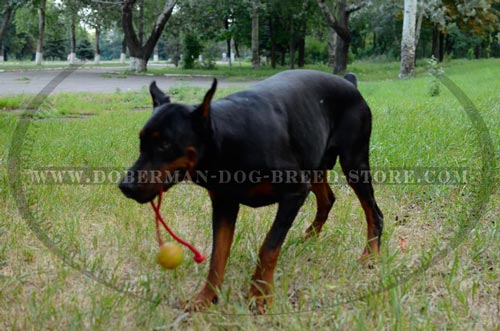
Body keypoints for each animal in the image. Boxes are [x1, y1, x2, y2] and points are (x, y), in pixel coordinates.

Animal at [119, 70, 384, 314]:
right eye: (141, 141)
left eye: (165, 144)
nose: (125, 186)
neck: (229, 140)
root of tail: (349, 82)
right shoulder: (224, 204)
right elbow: (217, 255)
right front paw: (205, 298)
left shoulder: (294, 193)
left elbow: (268, 248)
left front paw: (259, 296)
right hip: (315, 161)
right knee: (328, 199)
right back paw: (308, 238)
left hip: (354, 162)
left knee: (374, 212)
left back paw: (370, 256)